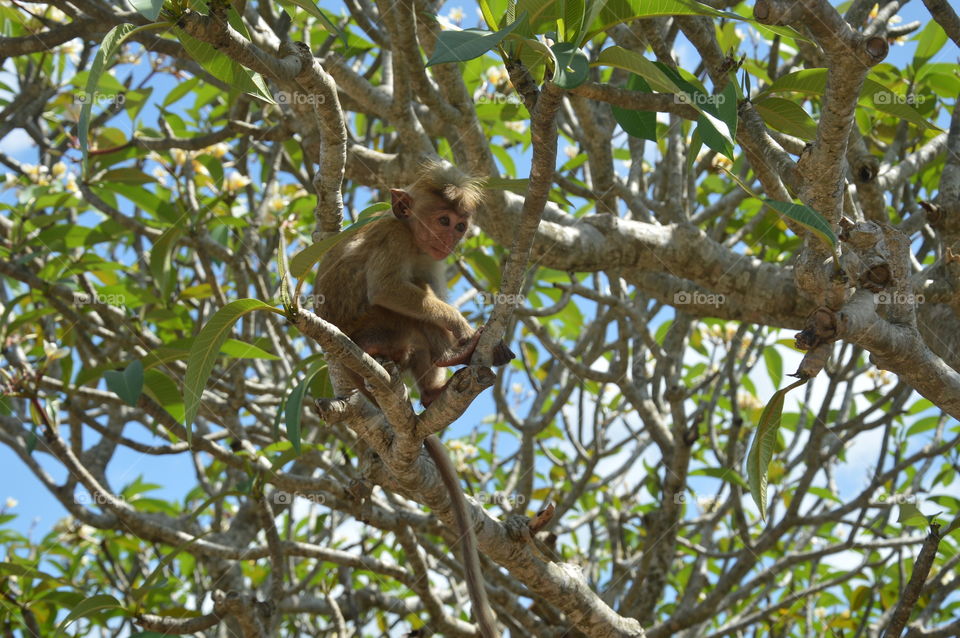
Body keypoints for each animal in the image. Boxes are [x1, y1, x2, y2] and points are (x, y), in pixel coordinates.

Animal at [314, 161, 513, 638]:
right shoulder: (396, 239)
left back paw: (435, 387)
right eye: (443, 219)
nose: (452, 236)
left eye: (460, 225)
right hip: (372, 329)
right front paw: (461, 328)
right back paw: (450, 354)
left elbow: (425, 283)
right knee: (404, 311)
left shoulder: (432, 258)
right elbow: (389, 288)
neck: (415, 237)